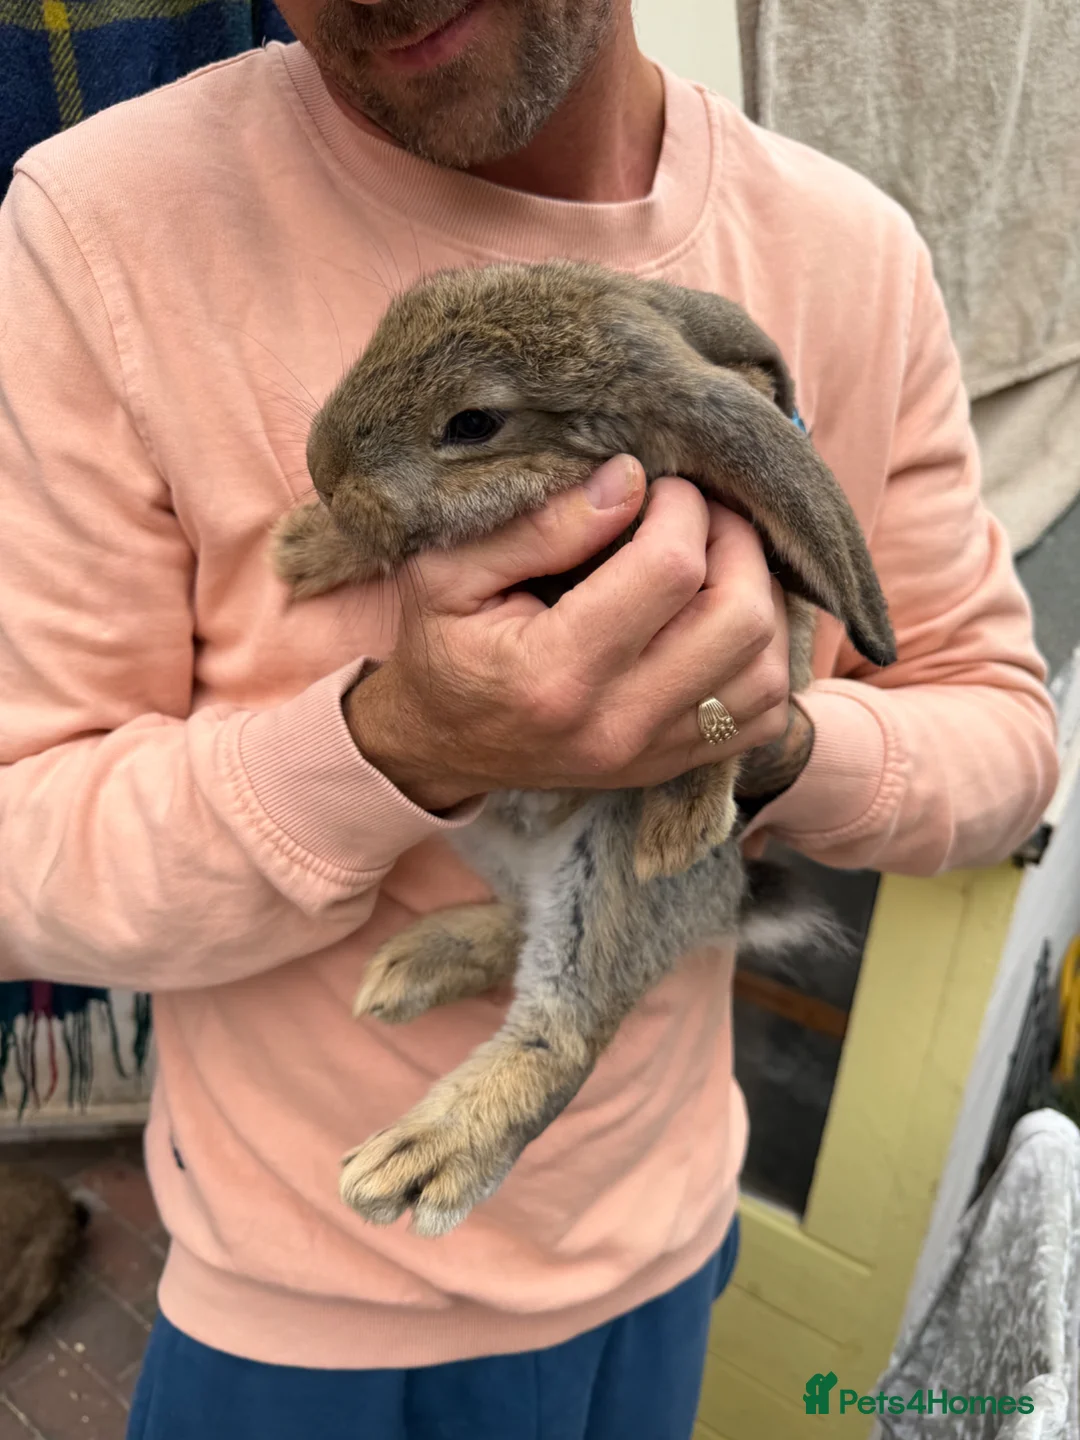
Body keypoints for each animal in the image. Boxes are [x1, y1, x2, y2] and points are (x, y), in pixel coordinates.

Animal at [271, 260, 895, 1237]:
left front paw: (685, 815)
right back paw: (417, 965)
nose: (321, 469)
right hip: (476, 823)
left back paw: (423, 1158)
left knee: (568, 1031)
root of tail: (727, 905)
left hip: (607, 876)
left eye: (473, 424)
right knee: (522, 916)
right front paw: (307, 546)